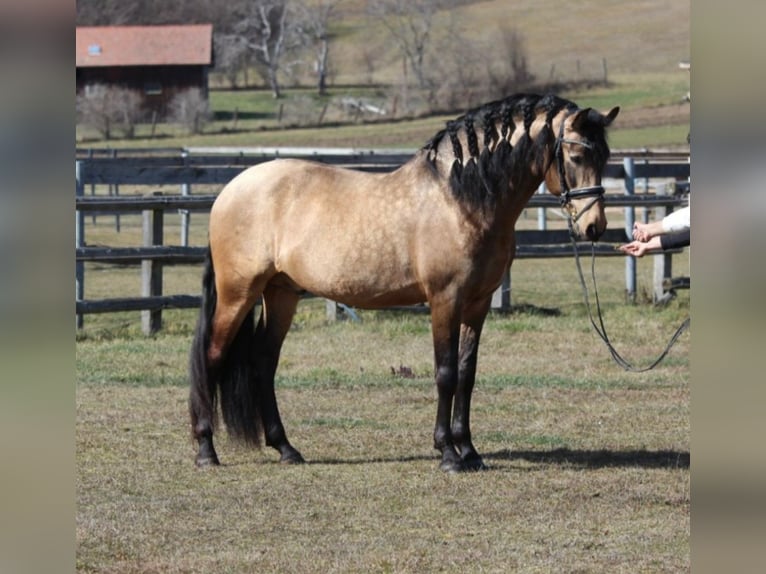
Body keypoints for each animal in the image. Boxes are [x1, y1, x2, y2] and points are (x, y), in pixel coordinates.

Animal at [189, 93, 619, 473]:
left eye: (605, 157)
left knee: (263, 362)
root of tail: (230, 190)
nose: (594, 227)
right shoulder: (445, 299)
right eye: (577, 156)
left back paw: (286, 449)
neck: (461, 198)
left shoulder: (478, 303)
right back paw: (206, 450)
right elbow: (445, 373)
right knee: (212, 356)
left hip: (281, 294)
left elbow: (467, 374)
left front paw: (470, 451)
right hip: (238, 292)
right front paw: (448, 454)